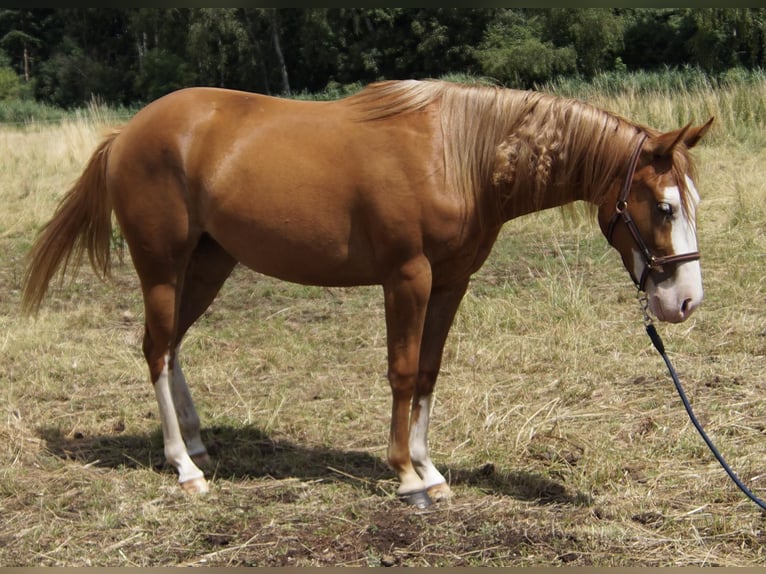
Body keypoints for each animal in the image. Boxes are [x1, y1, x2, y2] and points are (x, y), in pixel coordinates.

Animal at [25, 80, 720, 508]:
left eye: (693, 202)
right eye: (662, 206)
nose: (684, 302)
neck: (459, 155)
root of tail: (128, 134)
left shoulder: (451, 281)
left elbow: (430, 372)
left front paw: (431, 471)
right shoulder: (407, 278)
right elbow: (403, 371)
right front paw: (407, 477)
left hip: (208, 263)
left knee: (171, 349)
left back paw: (196, 443)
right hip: (163, 267)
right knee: (155, 350)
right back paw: (185, 468)